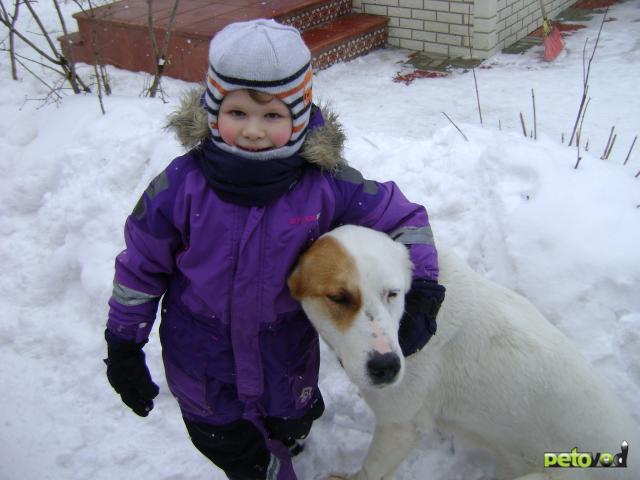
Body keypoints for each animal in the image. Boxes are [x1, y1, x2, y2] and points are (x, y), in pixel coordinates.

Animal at [290, 226, 640, 480]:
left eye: (392, 293)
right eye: (339, 297)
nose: (387, 367)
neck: (412, 316)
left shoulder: (401, 425)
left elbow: (370, 471)